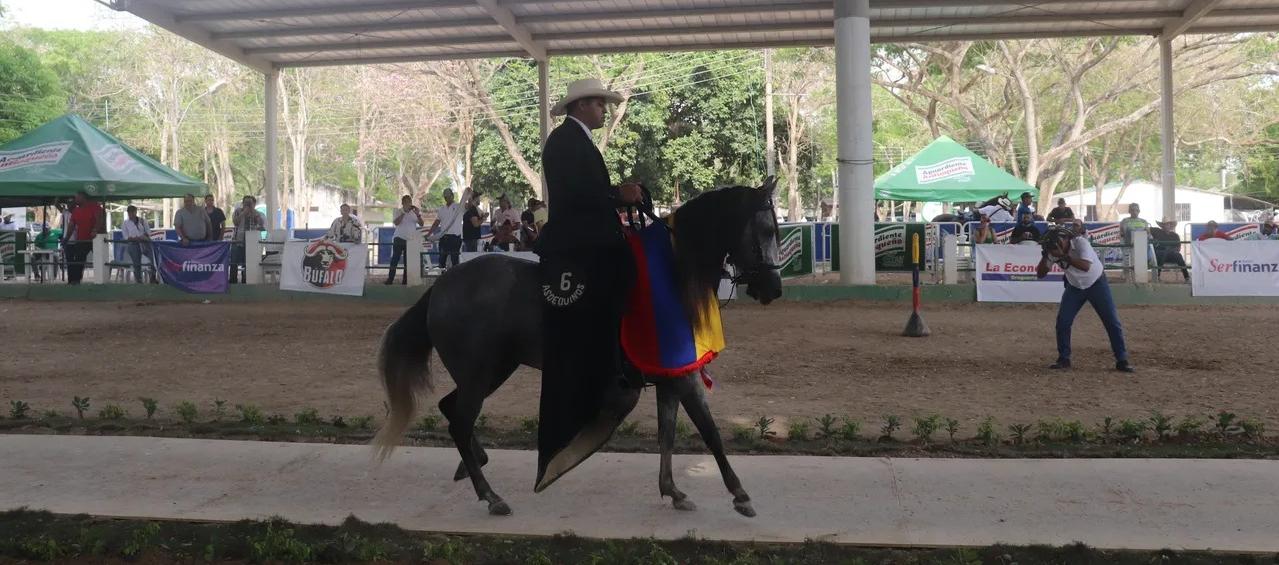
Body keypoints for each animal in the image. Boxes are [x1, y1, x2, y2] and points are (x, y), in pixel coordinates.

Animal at [371, 179, 784, 518]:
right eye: (765, 229)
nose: (774, 289)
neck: (673, 278)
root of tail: (441, 286)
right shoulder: (681, 377)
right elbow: (709, 430)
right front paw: (740, 495)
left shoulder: (670, 377)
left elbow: (667, 434)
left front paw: (673, 491)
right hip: (480, 372)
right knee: (459, 420)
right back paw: (491, 496)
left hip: (494, 369)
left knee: (451, 409)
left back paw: (476, 464)